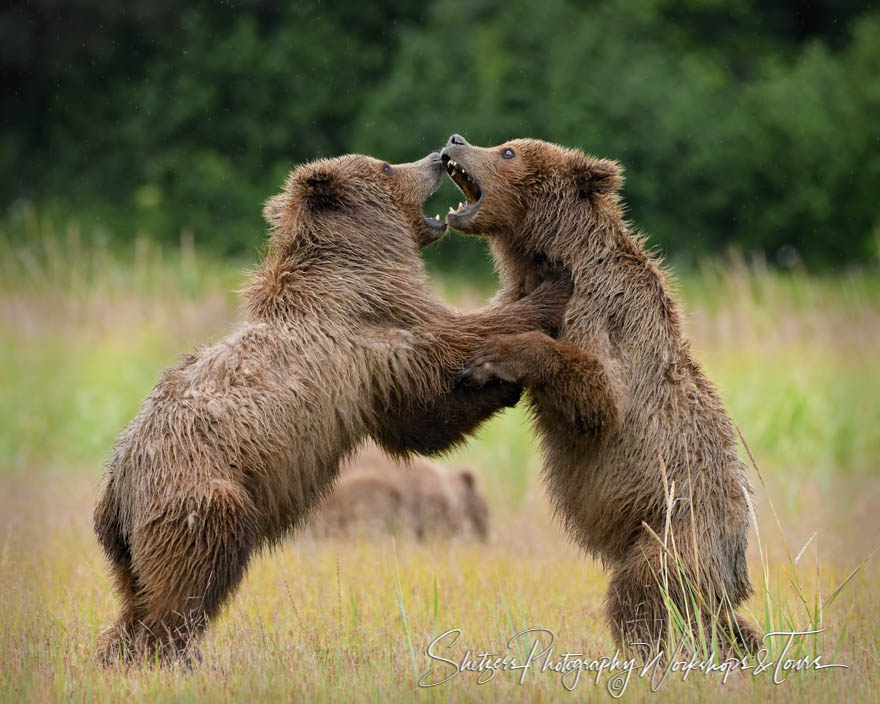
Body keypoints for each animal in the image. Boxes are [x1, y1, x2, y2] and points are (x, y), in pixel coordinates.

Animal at [444, 136, 760, 656]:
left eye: (508, 151)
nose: (456, 140)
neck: (548, 255)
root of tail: (738, 559)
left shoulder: (603, 311)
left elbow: (601, 400)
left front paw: (495, 357)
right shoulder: (516, 296)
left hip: (680, 526)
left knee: (643, 592)